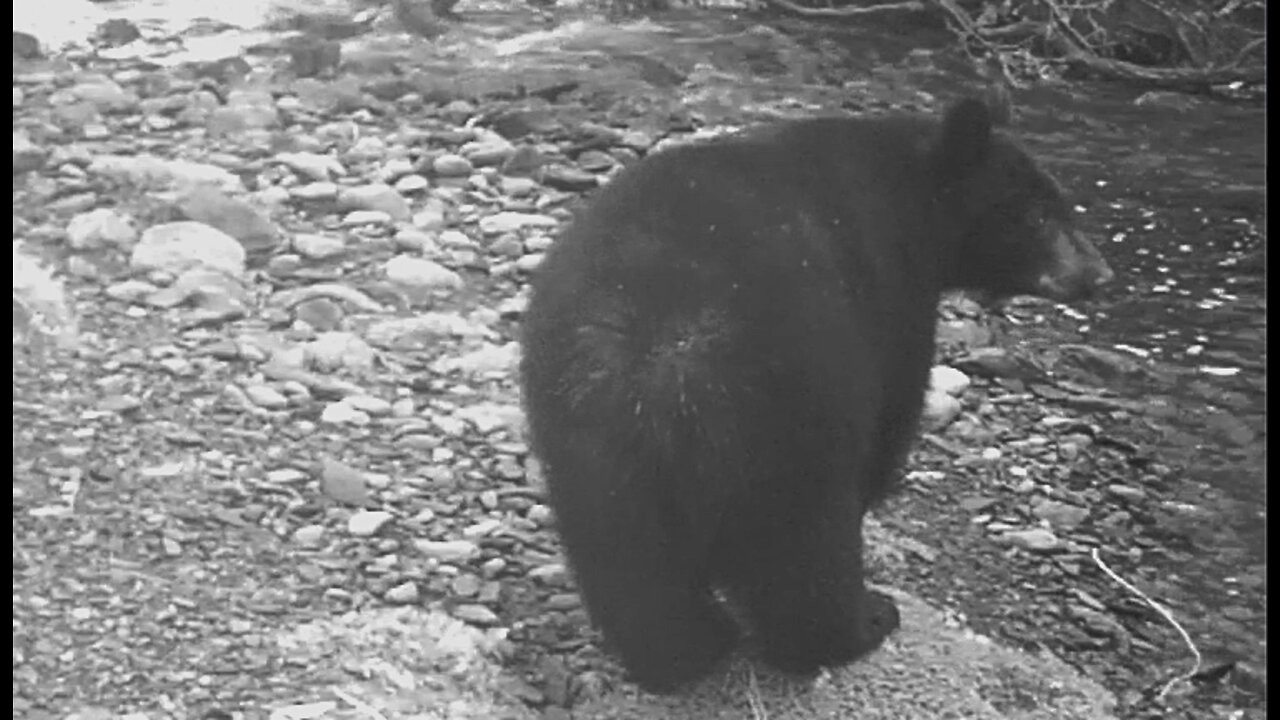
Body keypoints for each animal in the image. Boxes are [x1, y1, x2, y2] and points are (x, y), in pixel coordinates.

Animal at [514, 94, 1116, 691]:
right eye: (1037, 214)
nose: (1099, 274)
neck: (909, 194)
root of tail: (663, 360)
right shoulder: (890, 298)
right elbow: (894, 413)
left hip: (588, 448)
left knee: (634, 578)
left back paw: (688, 650)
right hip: (792, 418)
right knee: (805, 556)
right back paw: (863, 623)